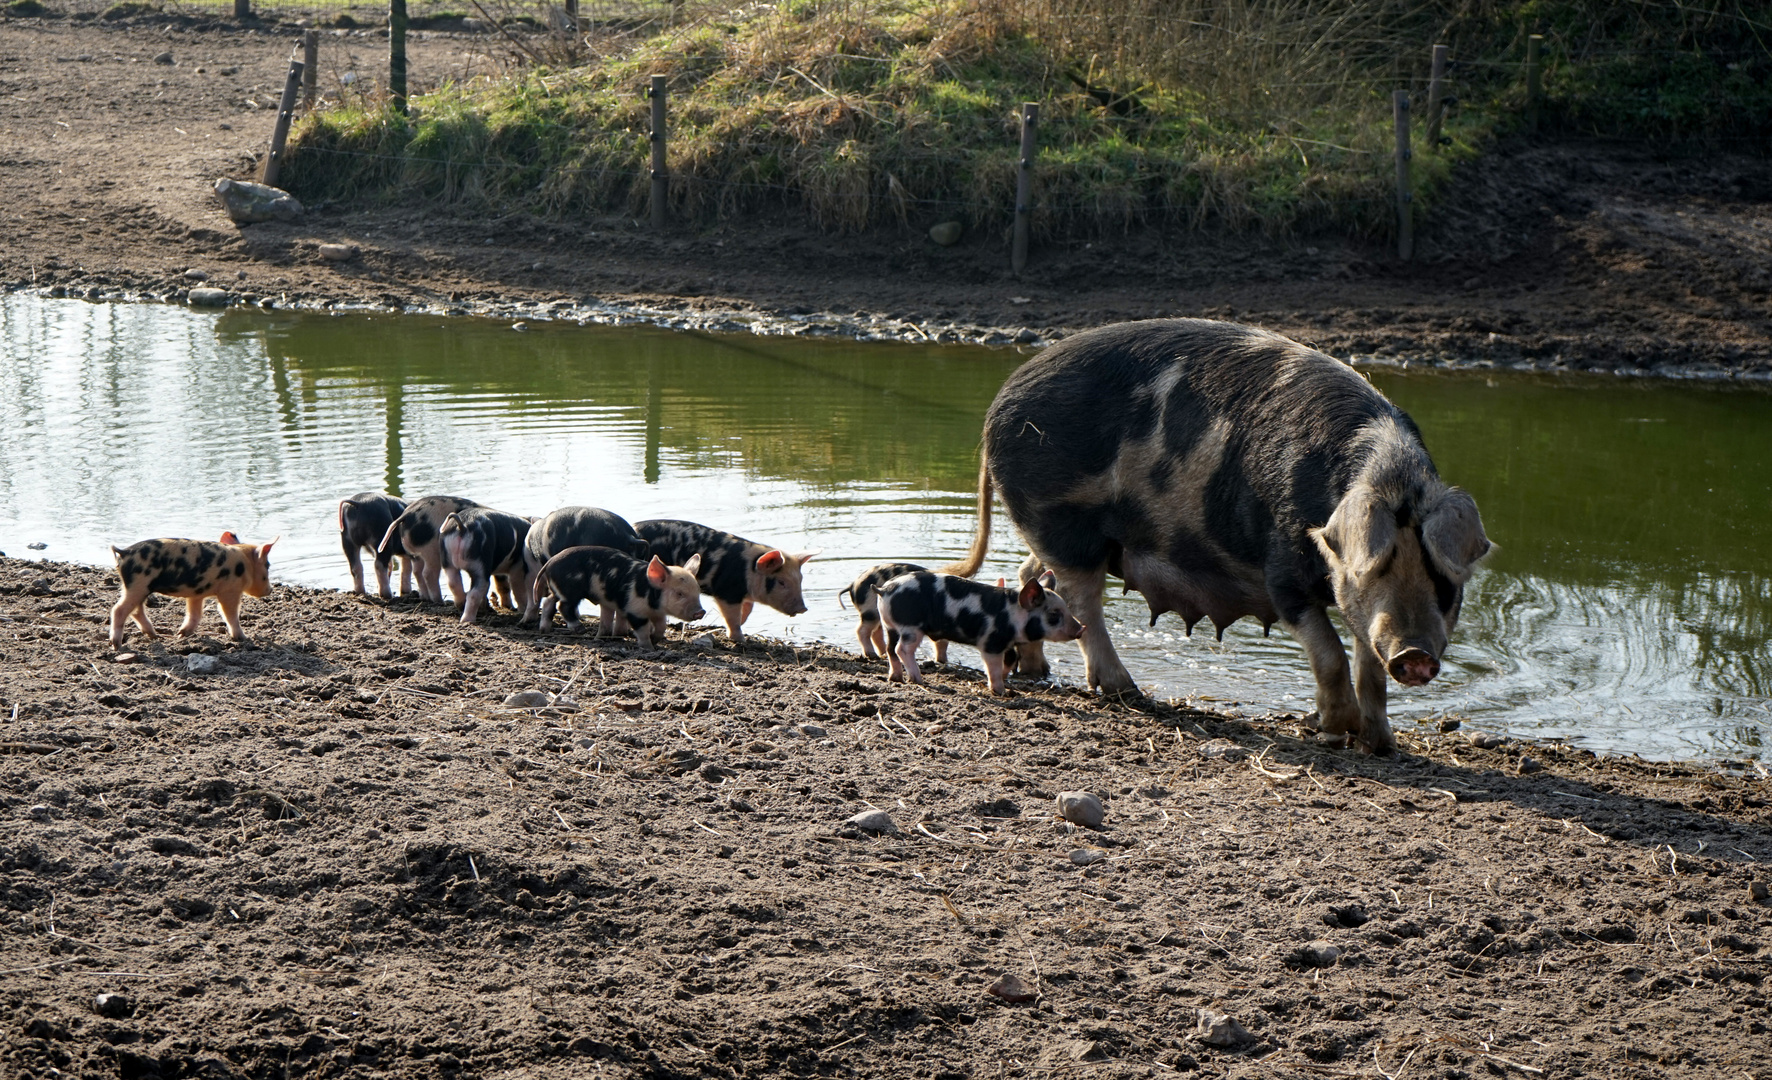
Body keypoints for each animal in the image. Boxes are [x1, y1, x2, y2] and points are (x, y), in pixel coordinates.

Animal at [949, 313, 1488, 748]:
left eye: (1444, 581)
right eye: (1376, 567)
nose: (1415, 654)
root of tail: (996, 408)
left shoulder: (1361, 613)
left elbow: (1369, 666)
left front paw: (1382, 745)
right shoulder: (1282, 570)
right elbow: (1330, 652)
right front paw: (1338, 731)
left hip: (1071, 538)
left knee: (1032, 577)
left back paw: (1038, 672)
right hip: (1064, 524)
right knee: (1083, 603)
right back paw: (1126, 690)